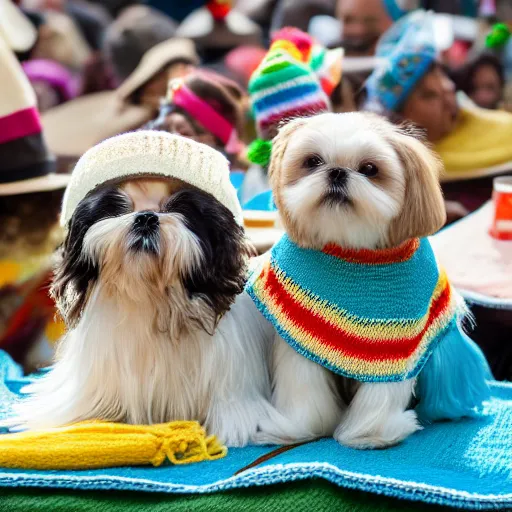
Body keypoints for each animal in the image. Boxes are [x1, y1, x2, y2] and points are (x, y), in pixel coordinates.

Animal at [250, 112, 490, 448]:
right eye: (312, 161)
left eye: (370, 169)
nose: (337, 172)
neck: (353, 249)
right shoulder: (301, 330)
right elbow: (304, 388)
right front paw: (297, 429)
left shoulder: (391, 342)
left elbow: (381, 394)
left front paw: (370, 434)